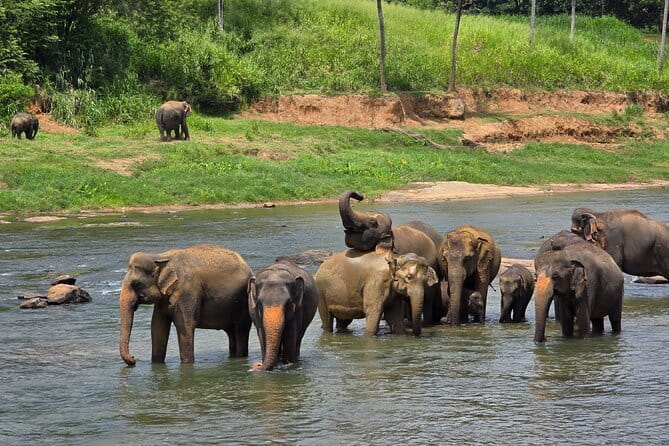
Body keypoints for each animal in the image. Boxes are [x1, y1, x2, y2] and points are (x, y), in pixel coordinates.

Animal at [119, 244, 252, 366]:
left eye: (137, 284)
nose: (134, 358)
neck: (160, 256)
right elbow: (158, 326)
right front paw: (156, 365)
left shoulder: (187, 291)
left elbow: (185, 325)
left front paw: (187, 366)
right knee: (231, 332)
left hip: (243, 303)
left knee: (241, 330)